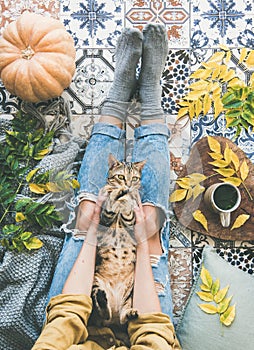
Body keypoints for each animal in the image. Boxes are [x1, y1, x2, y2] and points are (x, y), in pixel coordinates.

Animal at [89, 154, 146, 334]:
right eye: (121, 177)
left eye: (134, 178)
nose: (127, 186)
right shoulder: (104, 220)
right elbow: (110, 206)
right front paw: (116, 194)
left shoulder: (132, 224)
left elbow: (128, 210)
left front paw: (126, 198)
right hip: (96, 282)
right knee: (103, 312)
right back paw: (102, 301)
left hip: (131, 292)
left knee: (121, 316)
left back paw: (130, 313)